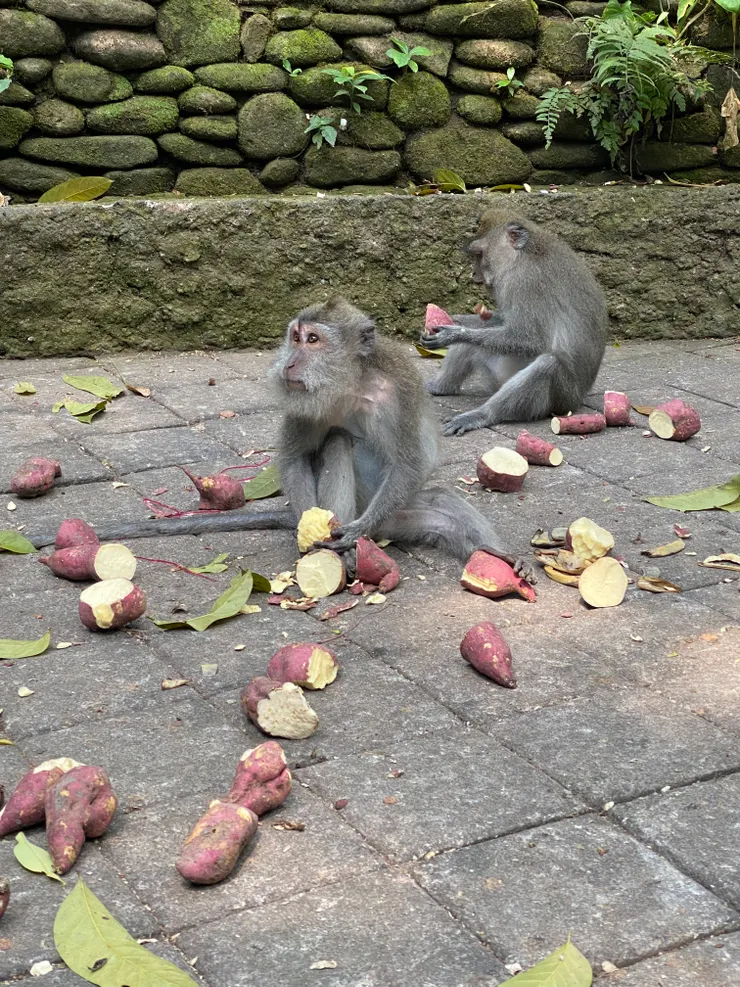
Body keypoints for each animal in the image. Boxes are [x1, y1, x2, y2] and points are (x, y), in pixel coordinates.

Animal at [26, 296, 530, 577]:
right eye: (294, 337)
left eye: (313, 340)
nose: (289, 362)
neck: (352, 382)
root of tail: (386, 530)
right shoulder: (302, 400)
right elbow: (294, 458)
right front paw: (310, 526)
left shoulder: (401, 389)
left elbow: (409, 462)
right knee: (337, 442)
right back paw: (343, 551)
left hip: (399, 515)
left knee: (442, 503)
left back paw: (491, 554)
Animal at [420, 209, 609, 437]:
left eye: (479, 255)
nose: (473, 273)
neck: (523, 255)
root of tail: (578, 400)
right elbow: (503, 321)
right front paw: (457, 320)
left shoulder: (525, 283)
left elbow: (530, 339)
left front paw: (453, 334)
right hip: (499, 373)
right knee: (479, 339)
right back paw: (439, 388)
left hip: (562, 398)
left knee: (547, 365)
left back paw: (483, 414)